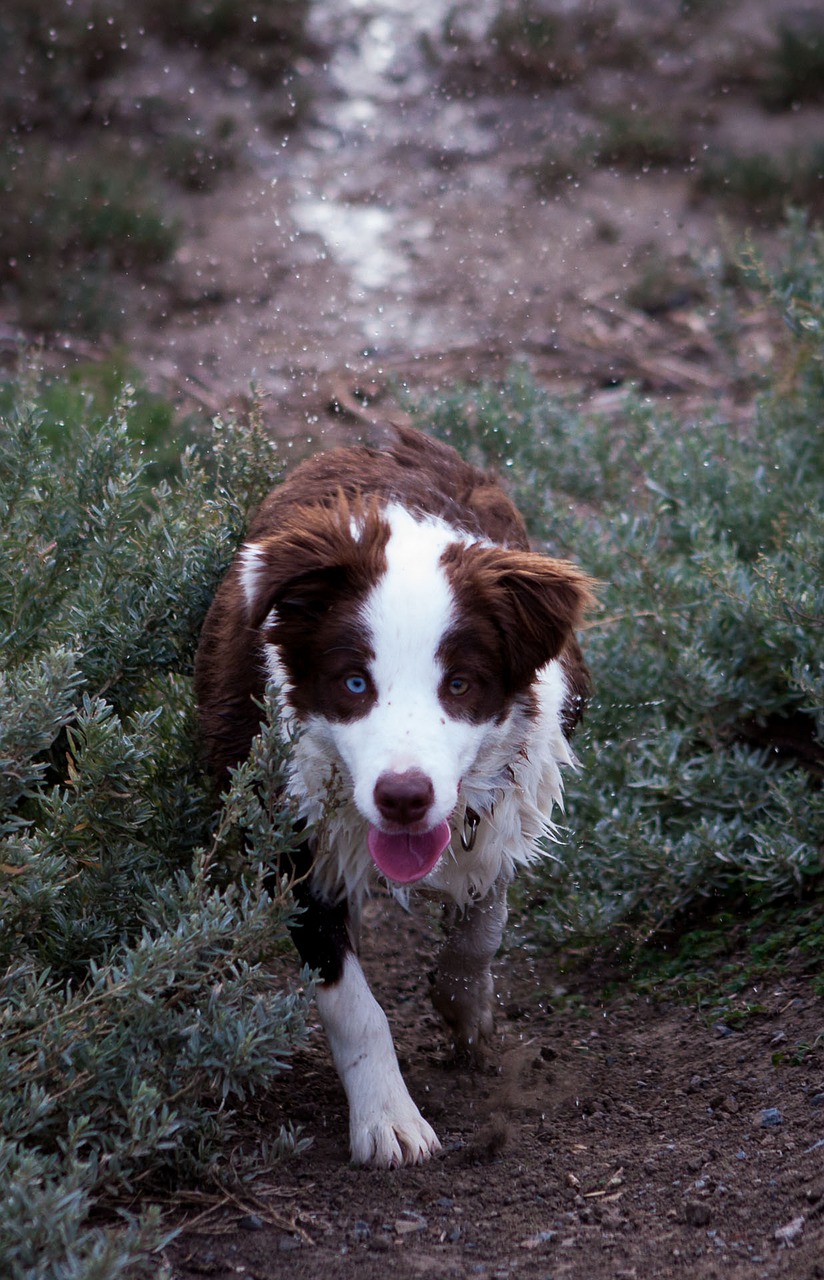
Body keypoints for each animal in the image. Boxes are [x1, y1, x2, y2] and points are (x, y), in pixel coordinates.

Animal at [193, 424, 591, 1167]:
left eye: (460, 684)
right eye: (353, 683)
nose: (404, 797)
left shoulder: (510, 787)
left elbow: (483, 919)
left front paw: (466, 1009)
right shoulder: (293, 840)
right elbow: (353, 1003)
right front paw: (389, 1120)